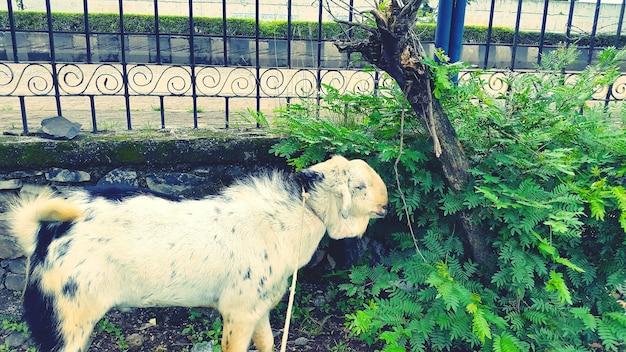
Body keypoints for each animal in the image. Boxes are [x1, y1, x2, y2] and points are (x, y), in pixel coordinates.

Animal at [7, 157, 386, 352]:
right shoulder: (237, 314)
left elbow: (267, 342)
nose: (386, 204)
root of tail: (44, 233)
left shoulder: (258, 308)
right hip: (64, 321)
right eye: (359, 186)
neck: (292, 216)